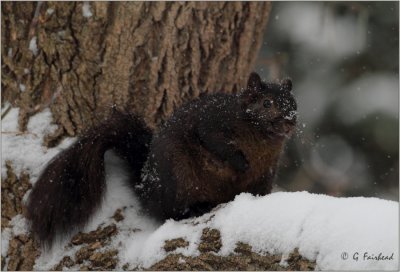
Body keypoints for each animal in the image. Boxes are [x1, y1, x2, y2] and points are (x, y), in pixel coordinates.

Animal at [26, 72, 296, 246]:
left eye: (294, 103)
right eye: (267, 103)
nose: (290, 121)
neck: (260, 137)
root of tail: (146, 186)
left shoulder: (267, 170)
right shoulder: (212, 123)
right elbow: (215, 143)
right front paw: (240, 163)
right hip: (179, 177)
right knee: (170, 212)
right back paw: (197, 208)